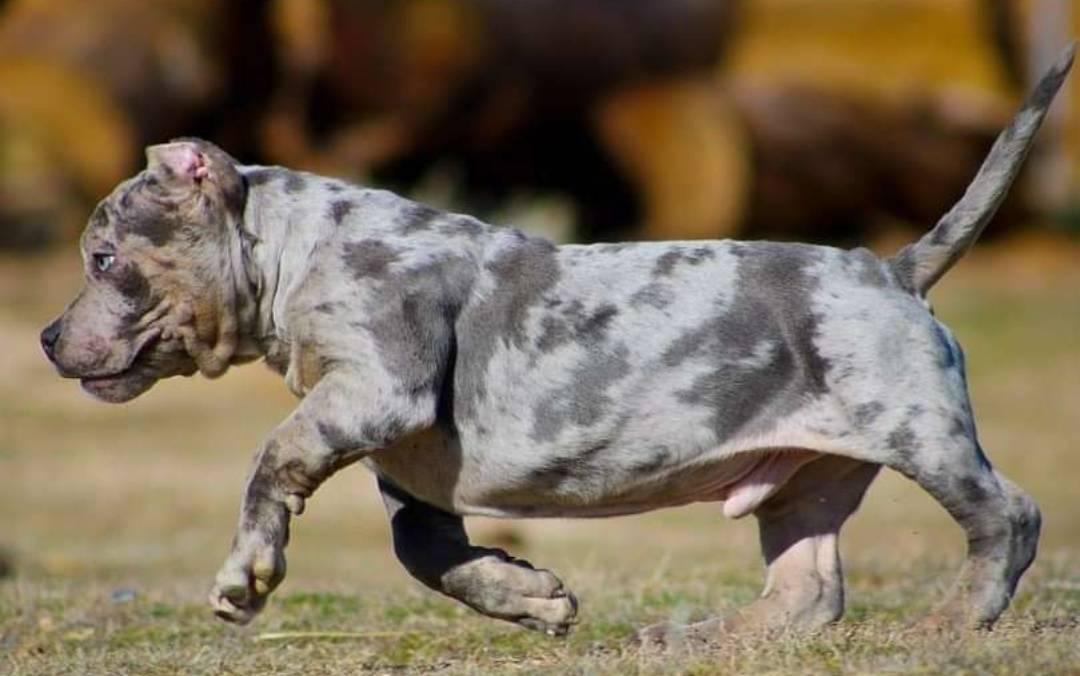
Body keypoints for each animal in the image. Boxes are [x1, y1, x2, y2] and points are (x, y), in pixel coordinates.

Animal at [39, 44, 1071, 643]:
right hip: (804, 483)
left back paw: (957, 621)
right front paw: (529, 596)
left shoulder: (375, 389)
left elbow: (272, 457)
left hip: (915, 428)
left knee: (1008, 515)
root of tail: (892, 270)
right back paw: (707, 639)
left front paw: (247, 574)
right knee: (810, 591)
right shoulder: (409, 471)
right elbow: (427, 555)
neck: (294, 250)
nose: (47, 338)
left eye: (102, 257)